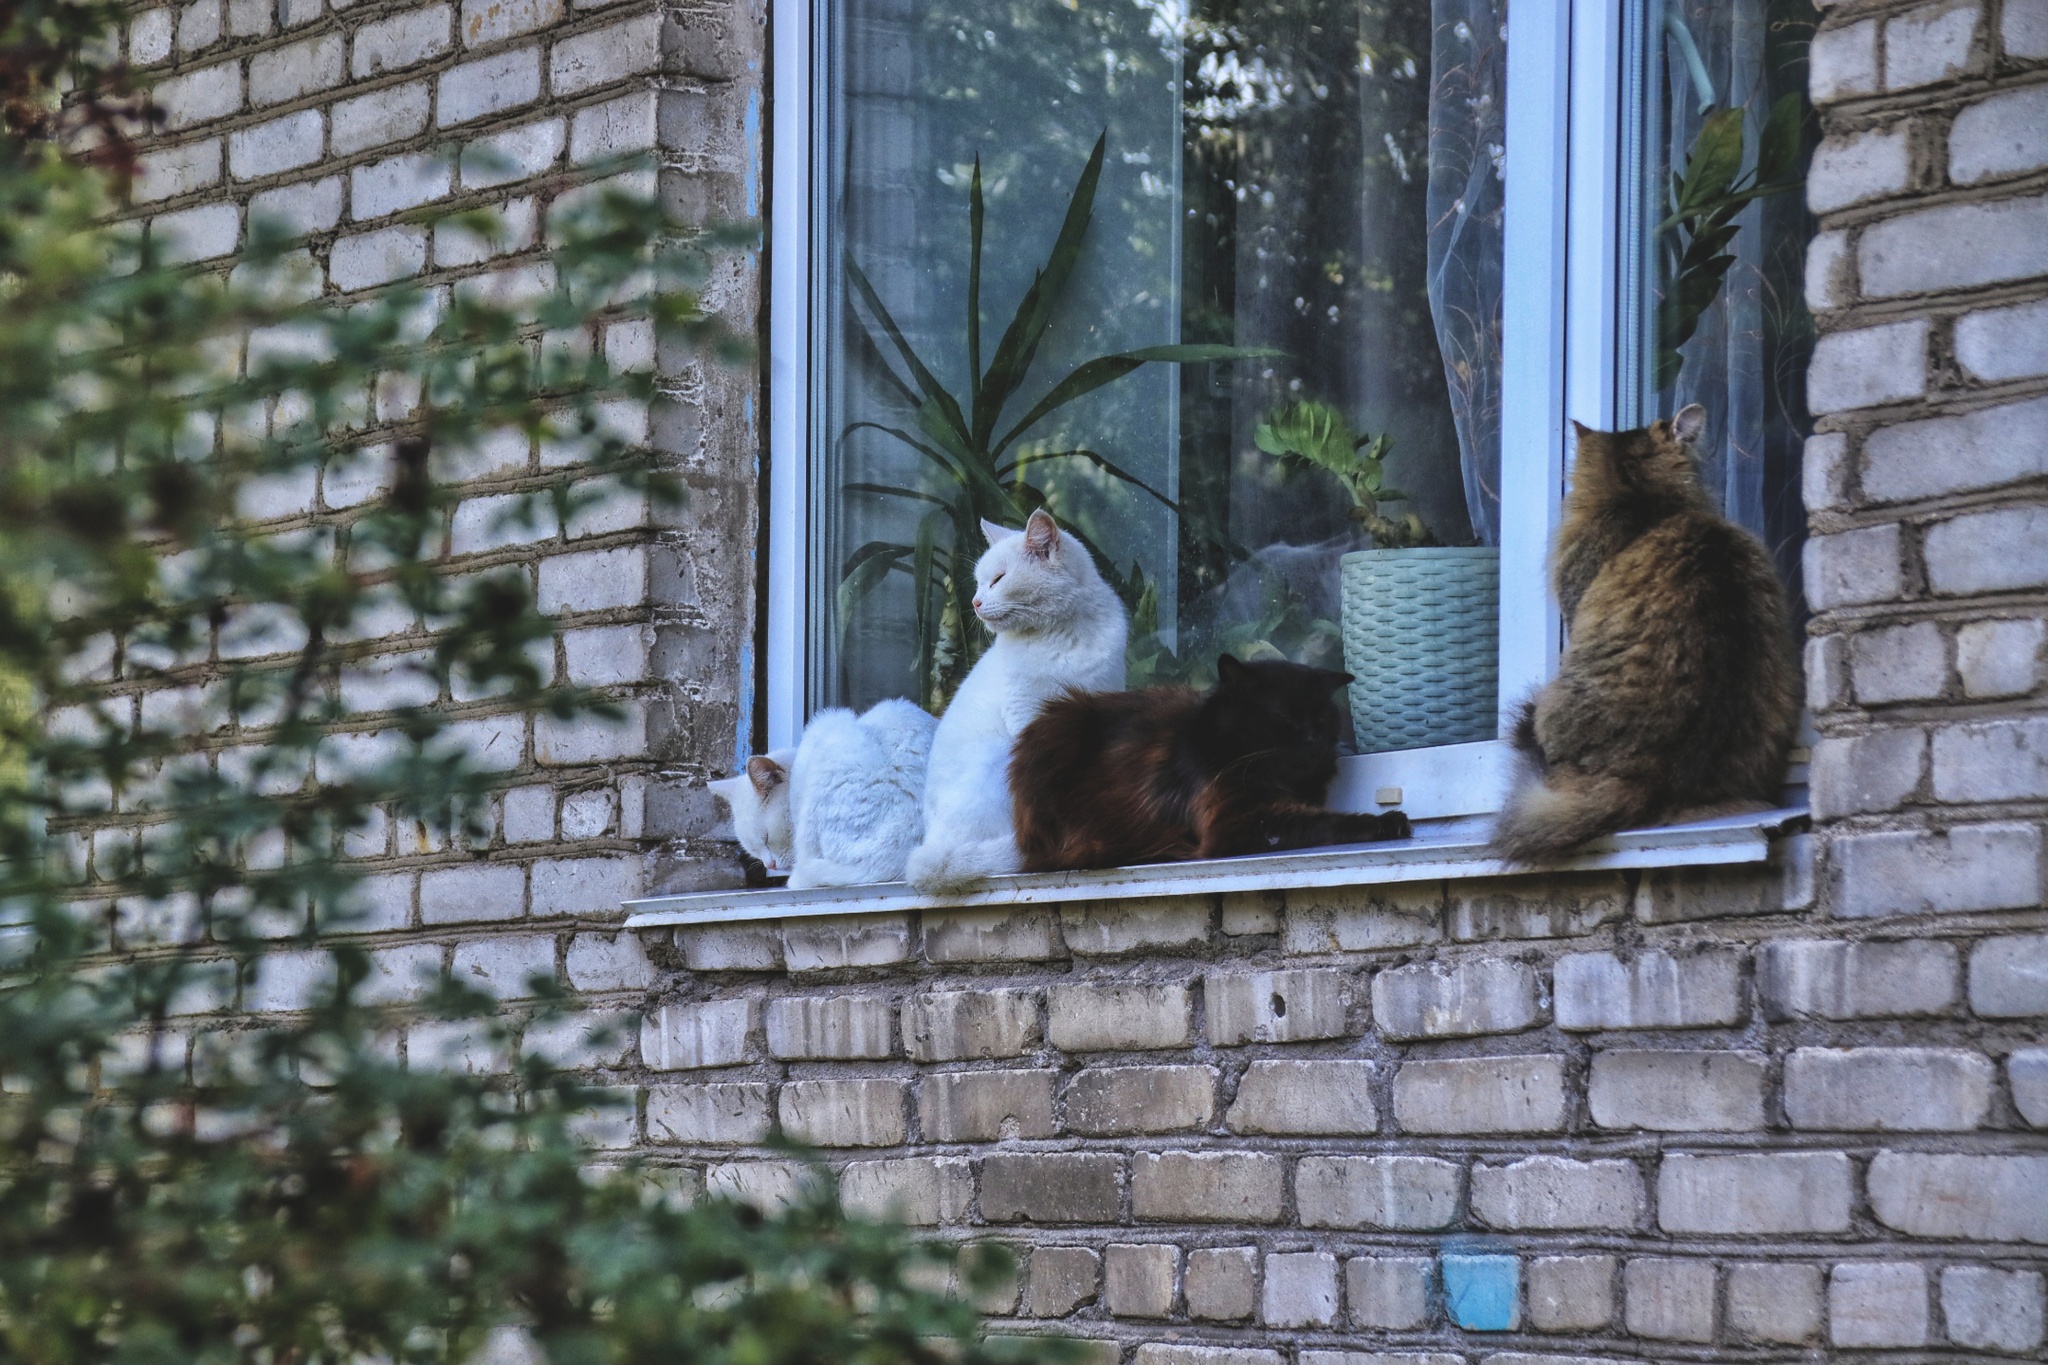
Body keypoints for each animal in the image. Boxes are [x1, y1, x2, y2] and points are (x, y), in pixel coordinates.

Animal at [909, 511, 1130, 896]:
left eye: (998, 580)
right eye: (979, 583)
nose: (974, 602)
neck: (1060, 635)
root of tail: (932, 848)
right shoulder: (1028, 714)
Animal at [1007, 654, 1409, 871]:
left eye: (1323, 717)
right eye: (1284, 717)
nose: (1314, 739)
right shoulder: (1236, 821)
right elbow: (1322, 821)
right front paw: (1387, 822)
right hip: (1060, 726)